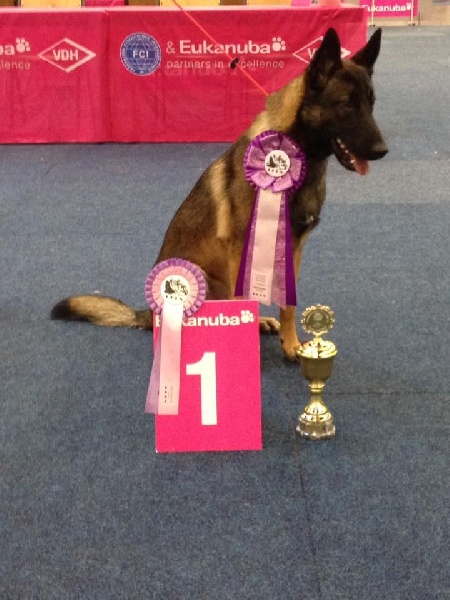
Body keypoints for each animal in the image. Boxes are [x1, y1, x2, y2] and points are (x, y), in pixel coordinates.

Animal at [51, 28, 388, 361]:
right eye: (346, 104)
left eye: (371, 103)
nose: (382, 151)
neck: (295, 157)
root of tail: (146, 313)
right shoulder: (241, 250)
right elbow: (242, 303)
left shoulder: (295, 248)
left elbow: (289, 304)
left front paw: (292, 345)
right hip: (198, 278)